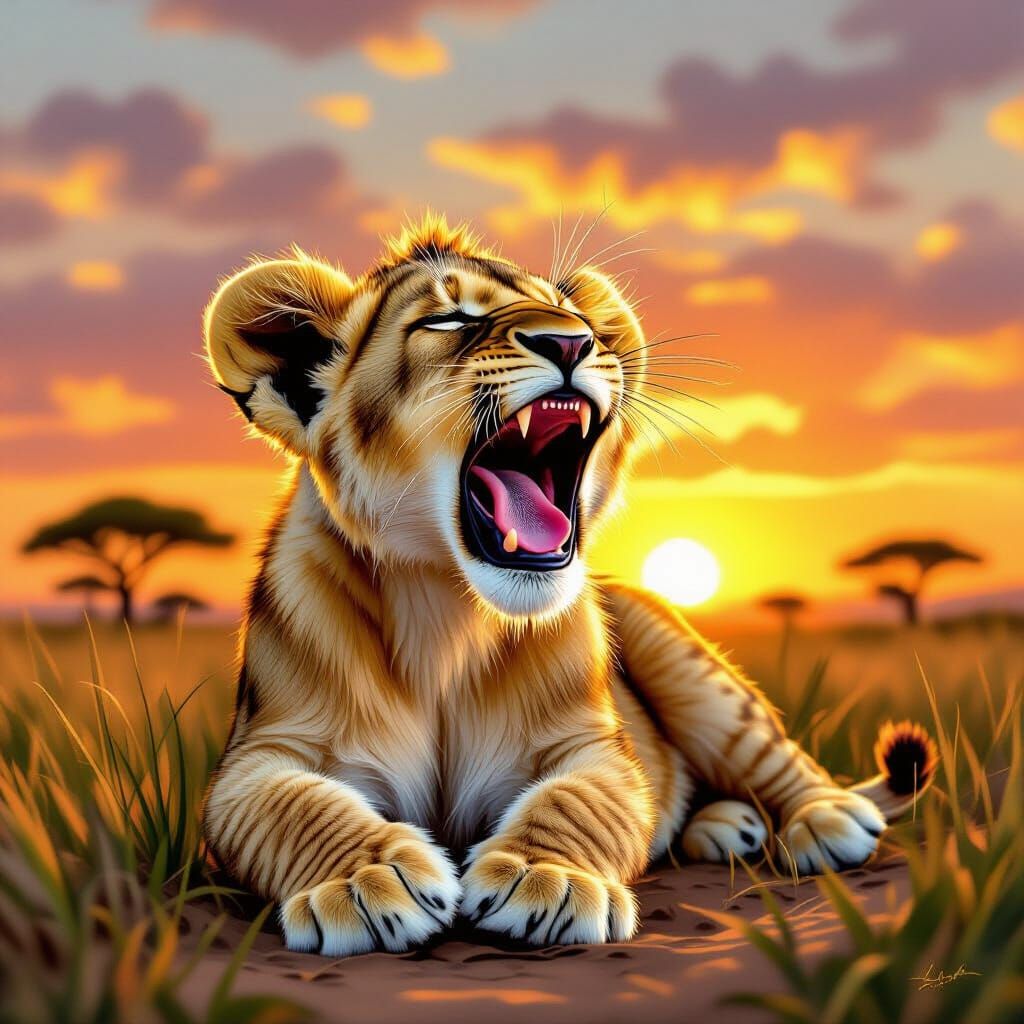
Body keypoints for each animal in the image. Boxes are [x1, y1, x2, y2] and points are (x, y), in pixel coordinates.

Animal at [201, 215, 937, 956]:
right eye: (448, 318)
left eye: (576, 316)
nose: (571, 341)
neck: (445, 617)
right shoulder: (258, 755)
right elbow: (296, 806)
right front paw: (370, 881)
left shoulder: (595, 747)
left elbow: (576, 802)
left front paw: (545, 880)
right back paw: (726, 826)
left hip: (687, 668)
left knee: (767, 754)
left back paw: (824, 820)